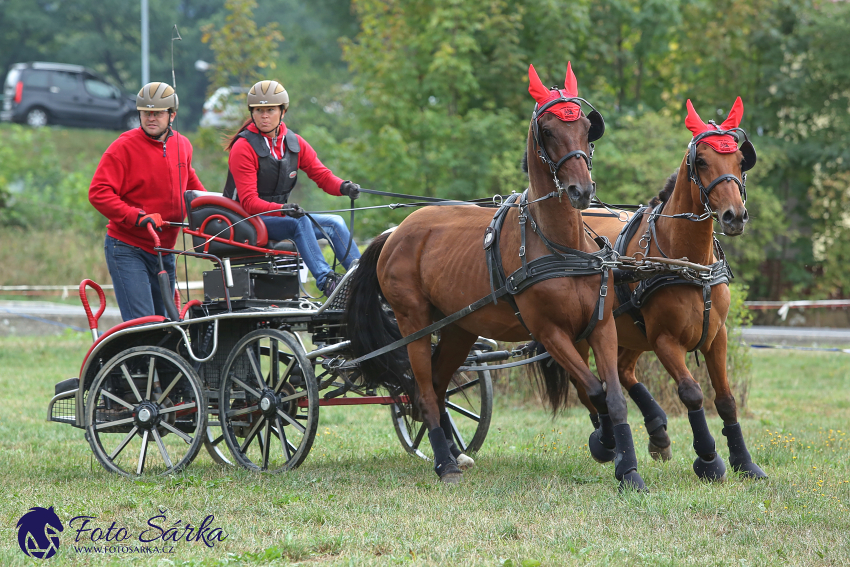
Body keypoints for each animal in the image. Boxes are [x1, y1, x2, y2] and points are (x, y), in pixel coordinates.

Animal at [342, 63, 644, 492]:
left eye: (587, 127)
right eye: (547, 130)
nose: (580, 190)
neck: (560, 247)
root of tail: (395, 232)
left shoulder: (599, 326)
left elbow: (612, 397)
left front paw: (628, 467)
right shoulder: (550, 333)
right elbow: (594, 389)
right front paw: (604, 444)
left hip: (458, 328)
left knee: (436, 385)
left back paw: (452, 454)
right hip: (413, 322)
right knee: (425, 391)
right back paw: (446, 464)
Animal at [568, 97, 768, 480]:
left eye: (740, 160)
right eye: (701, 161)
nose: (735, 216)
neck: (690, 264)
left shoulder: (715, 335)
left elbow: (726, 399)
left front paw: (744, 461)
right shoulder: (664, 340)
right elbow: (691, 392)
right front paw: (708, 458)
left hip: (631, 331)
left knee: (623, 371)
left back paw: (656, 430)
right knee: (584, 379)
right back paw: (606, 438)